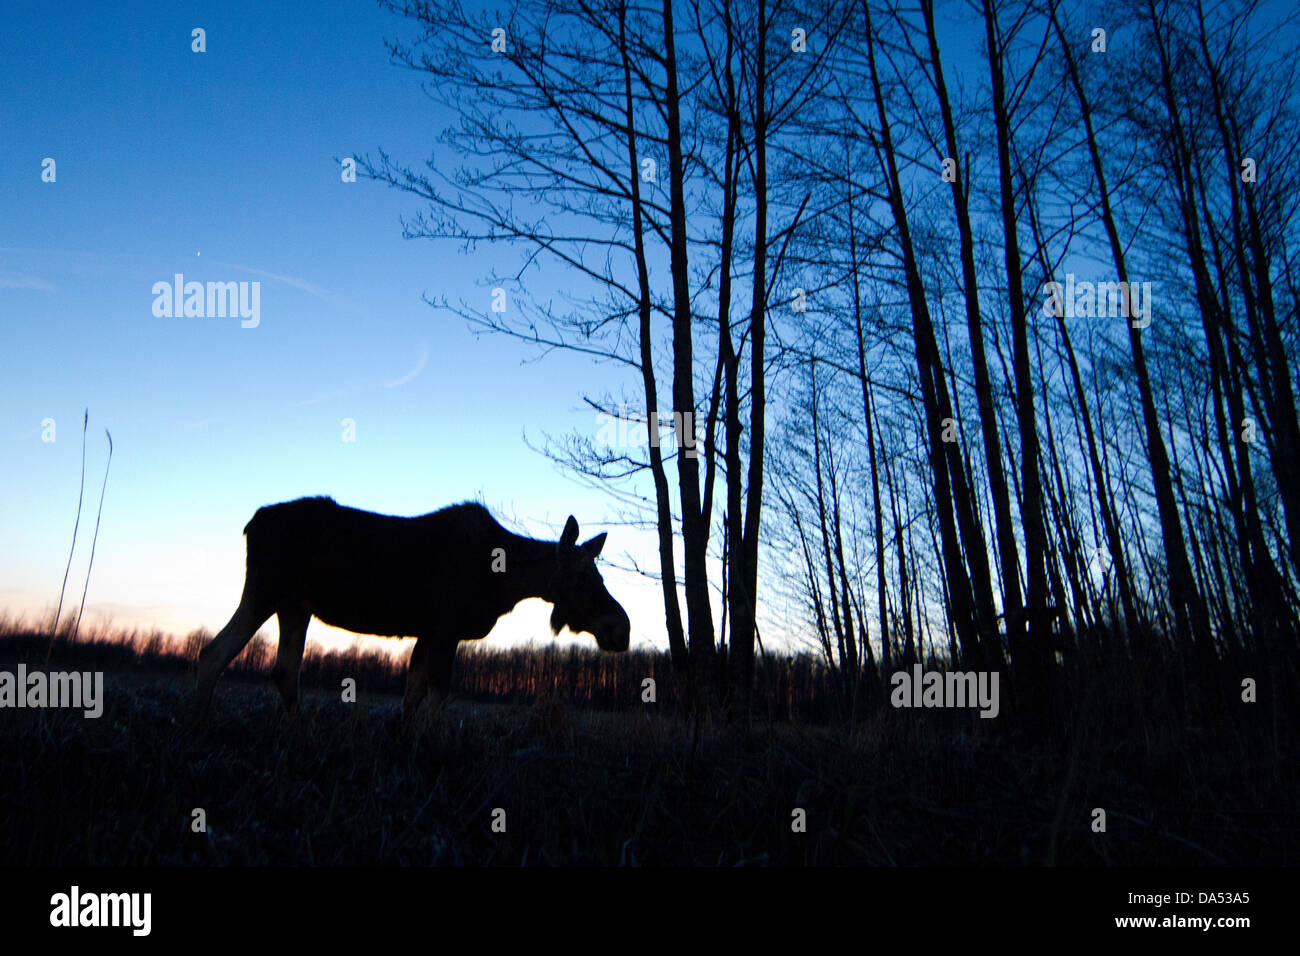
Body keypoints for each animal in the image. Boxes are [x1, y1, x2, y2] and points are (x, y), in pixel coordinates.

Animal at [193, 502, 634, 717]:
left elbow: (412, 695)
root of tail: (250, 524)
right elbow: (437, 697)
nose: (622, 628)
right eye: (582, 576)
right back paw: (198, 723)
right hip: (264, 592)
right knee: (213, 652)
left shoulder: (429, 632)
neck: (506, 582)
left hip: (295, 606)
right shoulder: (447, 629)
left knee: (284, 670)